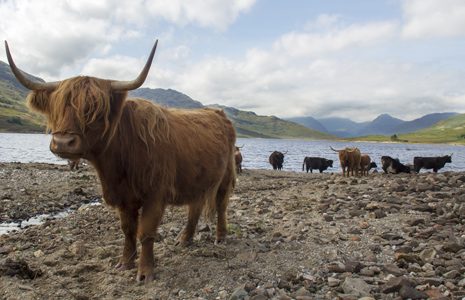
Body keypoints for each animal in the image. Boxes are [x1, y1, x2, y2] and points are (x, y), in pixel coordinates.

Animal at [6, 40, 237, 284]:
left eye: (95, 110)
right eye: (57, 108)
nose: (63, 142)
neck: (118, 163)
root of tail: (217, 112)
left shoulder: (155, 195)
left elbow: (145, 232)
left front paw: (145, 273)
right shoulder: (123, 197)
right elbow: (127, 230)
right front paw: (125, 263)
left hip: (225, 175)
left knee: (221, 205)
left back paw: (221, 237)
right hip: (197, 178)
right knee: (195, 206)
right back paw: (184, 239)